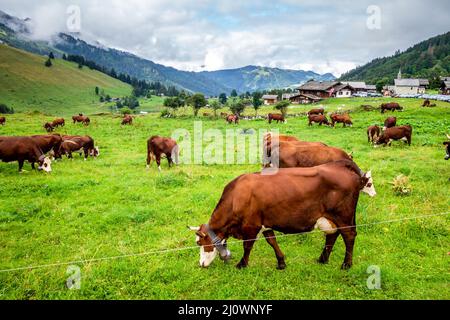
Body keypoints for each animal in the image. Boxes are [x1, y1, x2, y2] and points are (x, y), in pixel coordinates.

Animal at [189, 160, 376, 270]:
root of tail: (339, 165)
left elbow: (247, 246)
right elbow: (272, 241)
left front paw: (242, 264)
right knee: (332, 235)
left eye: (201, 243)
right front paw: (281, 262)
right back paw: (322, 259)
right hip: (330, 218)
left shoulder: (251, 225)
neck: (236, 197)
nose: (201, 264)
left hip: (343, 216)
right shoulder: (264, 223)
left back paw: (346, 264)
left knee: (349, 235)